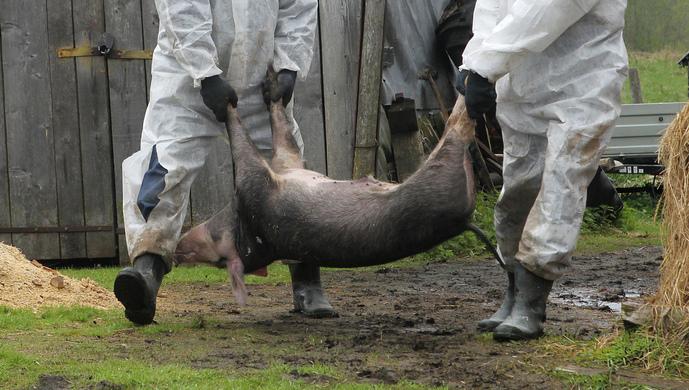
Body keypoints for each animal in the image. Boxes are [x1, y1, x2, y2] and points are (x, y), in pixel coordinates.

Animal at [175, 68, 502, 304]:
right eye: (218, 259)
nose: (178, 250)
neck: (244, 224)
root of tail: (463, 221)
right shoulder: (256, 186)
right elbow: (243, 142)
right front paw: (224, 98)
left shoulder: (289, 167)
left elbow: (285, 140)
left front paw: (273, 85)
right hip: (440, 171)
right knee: (458, 125)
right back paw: (470, 82)